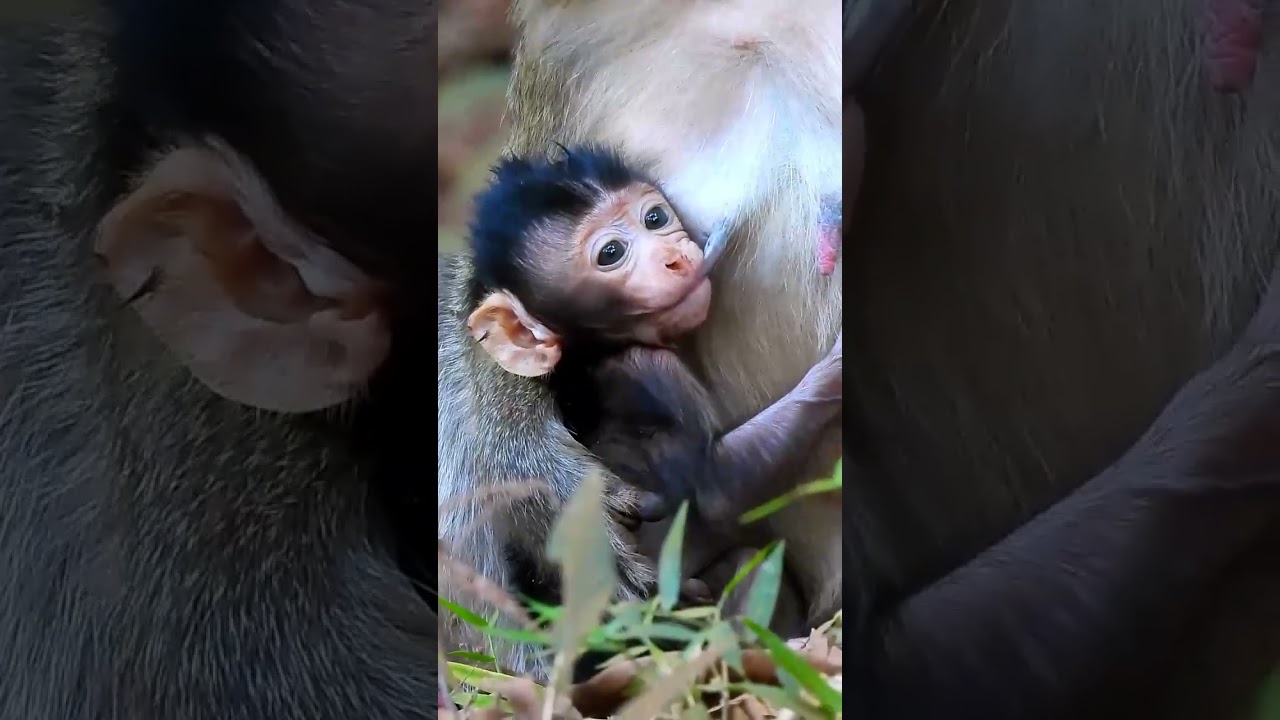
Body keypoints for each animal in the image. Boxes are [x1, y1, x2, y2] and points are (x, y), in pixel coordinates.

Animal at [461, 146, 842, 616]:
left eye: (655, 218)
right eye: (610, 252)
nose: (675, 257)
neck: (591, 356)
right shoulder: (652, 373)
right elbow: (717, 488)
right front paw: (835, 368)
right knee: (748, 566)